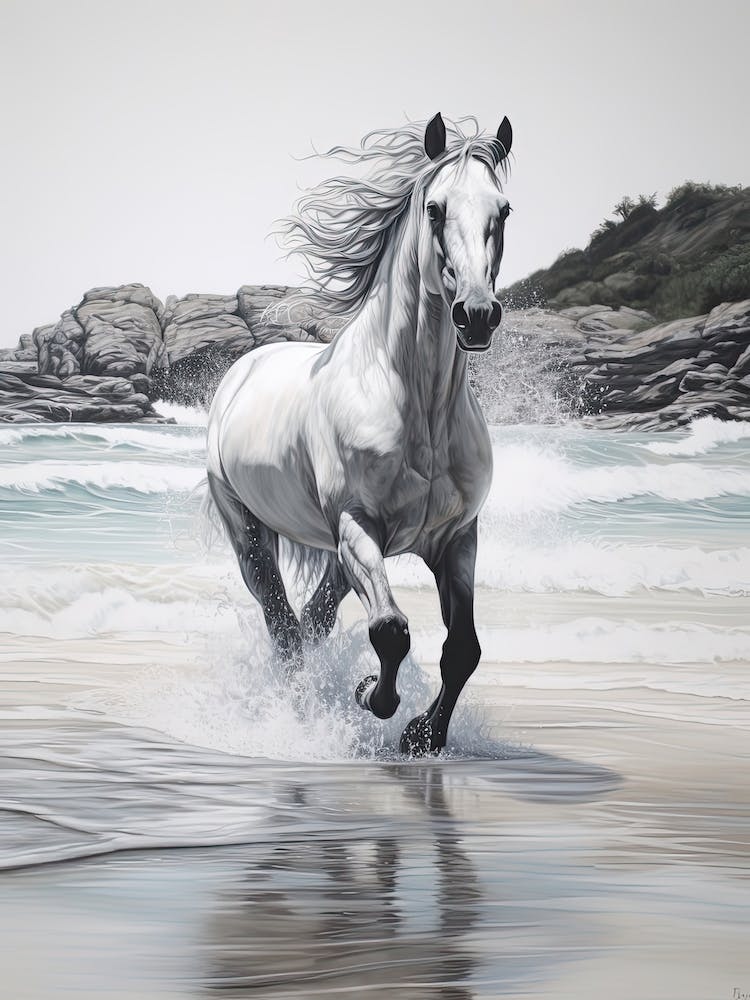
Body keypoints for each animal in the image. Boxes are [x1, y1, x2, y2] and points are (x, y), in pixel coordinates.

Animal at [206, 112, 513, 755]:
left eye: (503, 209)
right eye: (435, 209)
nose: (476, 315)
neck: (417, 409)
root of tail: (243, 369)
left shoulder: (456, 539)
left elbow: (463, 649)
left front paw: (422, 735)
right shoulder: (358, 525)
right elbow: (391, 630)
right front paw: (373, 697)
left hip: (338, 556)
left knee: (312, 622)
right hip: (254, 539)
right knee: (285, 630)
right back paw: (300, 712)